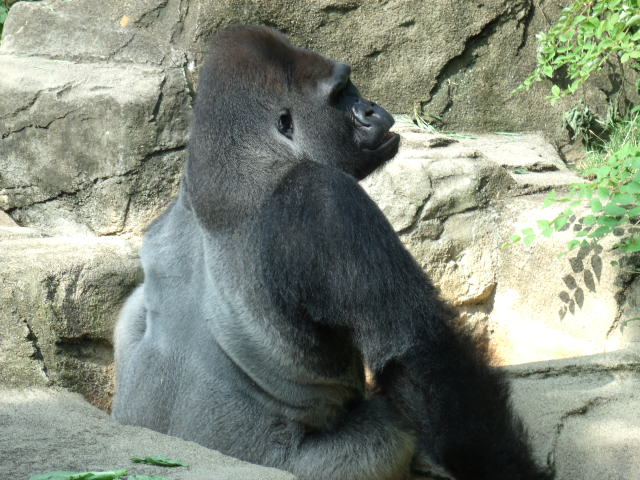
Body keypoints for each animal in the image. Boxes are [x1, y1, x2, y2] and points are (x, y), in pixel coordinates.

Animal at [112, 26, 552, 480]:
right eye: (340, 94)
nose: (371, 109)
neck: (239, 159)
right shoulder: (330, 201)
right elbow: (421, 354)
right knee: (390, 434)